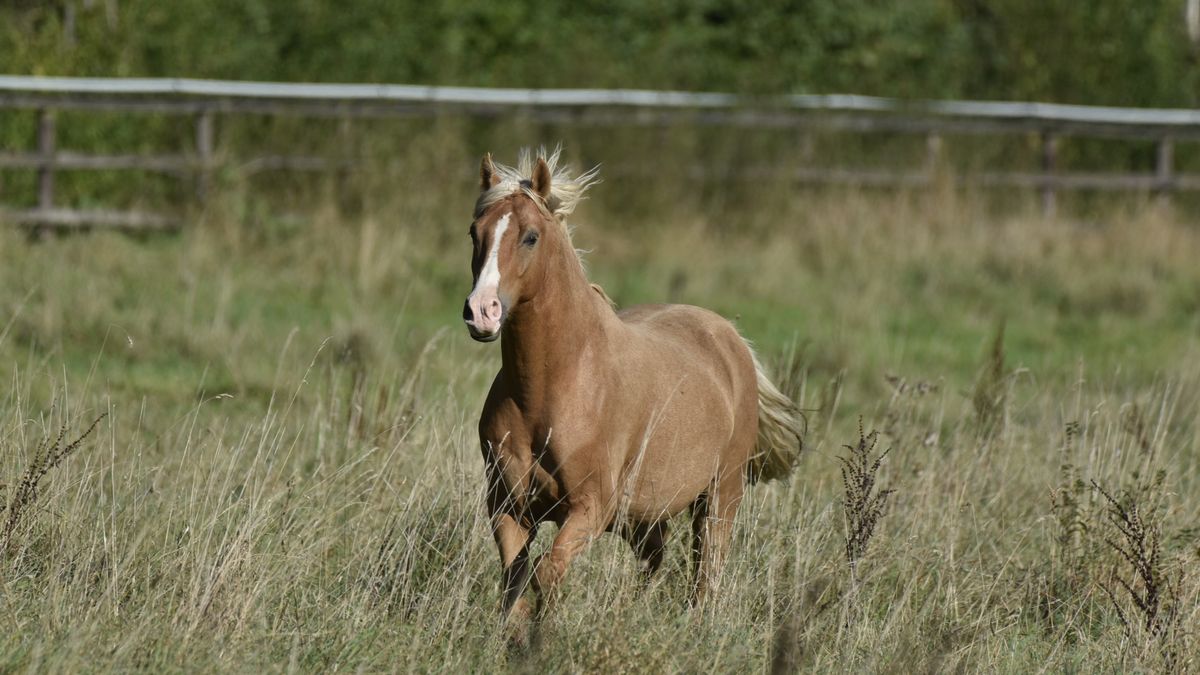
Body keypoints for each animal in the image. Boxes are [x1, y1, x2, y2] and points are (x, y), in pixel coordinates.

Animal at [462, 147, 804, 639]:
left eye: (530, 237)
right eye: (475, 233)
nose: (481, 312)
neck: (554, 387)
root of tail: (730, 337)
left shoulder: (589, 508)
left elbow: (547, 572)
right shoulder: (507, 507)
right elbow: (515, 585)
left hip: (721, 495)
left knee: (706, 573)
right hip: (643, 514)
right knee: (654, 558)